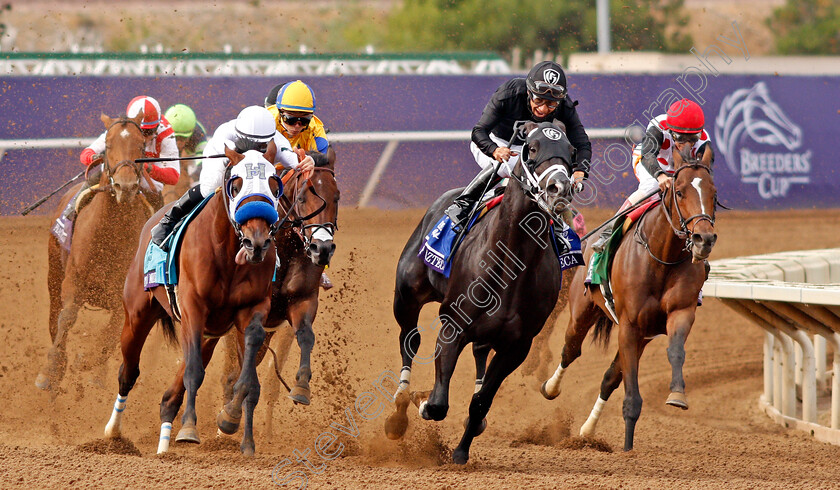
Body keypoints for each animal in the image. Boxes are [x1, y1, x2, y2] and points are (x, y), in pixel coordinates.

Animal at [35, 113, 157, 392]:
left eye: (141, 147)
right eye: (108, 145)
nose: (126, 186)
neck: (110, 235)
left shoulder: (123, 295)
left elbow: (112, 334)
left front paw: (90, 365)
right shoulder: (73, 280)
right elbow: (67, 317)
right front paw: (51, 370)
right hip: (53, 275)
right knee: (54, 319)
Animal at [104, 145, 282, 456]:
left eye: (274, 185)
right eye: (236, 184)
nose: (257, 242)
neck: (228, 253)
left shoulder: (251, 311)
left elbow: (247, 380)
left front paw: (242, 438)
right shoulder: (193, 309)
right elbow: (194, 373)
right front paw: (188, 430)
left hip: (209, 332)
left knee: (173, 386)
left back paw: (164, 438)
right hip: (137, 314)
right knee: (129, 371)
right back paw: (114, 432)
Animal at [382, 122, 576, 464]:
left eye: (572, 150)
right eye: (532, 147)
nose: (559, 188)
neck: (512, 259)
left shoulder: (517, 346)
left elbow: (482, 401)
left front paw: (461, 451)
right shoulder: (452, 326)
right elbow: (437, 403)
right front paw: (421, 400)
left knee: (479, 354)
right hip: (406, 296)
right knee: (410, 339)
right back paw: (400, 406)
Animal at [540, 149, 720, 452]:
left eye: (714, 192)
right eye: (680, 191)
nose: (703, 239)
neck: (662, 258)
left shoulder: (678, 313)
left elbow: (675, 351)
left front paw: (677, 395)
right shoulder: (629, 325)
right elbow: (631, 394)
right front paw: (627, 449)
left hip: (642, 337)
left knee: (608, 379)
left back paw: (587, 431)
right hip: (582, 310)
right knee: (570, 350)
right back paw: (550, 388)